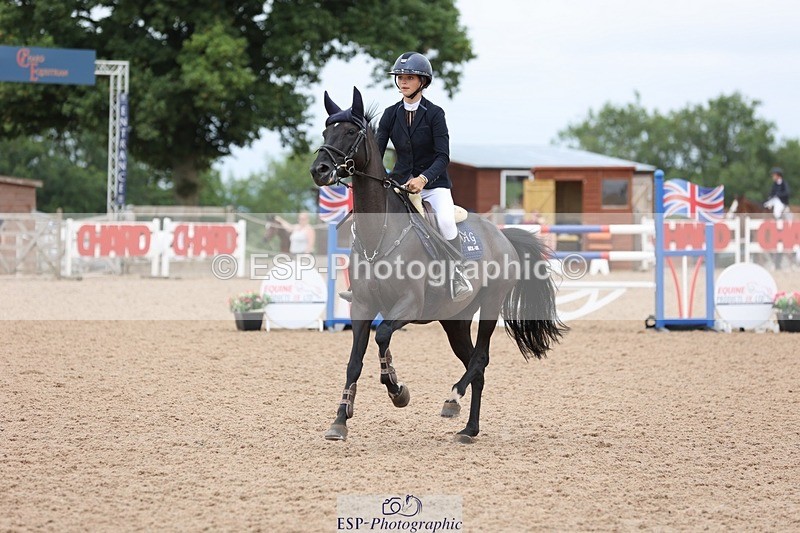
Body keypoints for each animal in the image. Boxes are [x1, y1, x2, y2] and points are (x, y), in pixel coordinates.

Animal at [309, 87, 566, 442]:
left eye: (349, 132)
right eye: (325, 132)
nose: (319, 170)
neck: (379, 235)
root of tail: (501, 235)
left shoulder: (409, 305)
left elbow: (383, 335)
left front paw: (397, 390)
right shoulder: (361, 307)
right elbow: (354, 362)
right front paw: (339, 420)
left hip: (490, 305)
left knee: (479, 359)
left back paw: (453, 401)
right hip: (454, 320)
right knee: (475, 364)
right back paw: (469, 428)